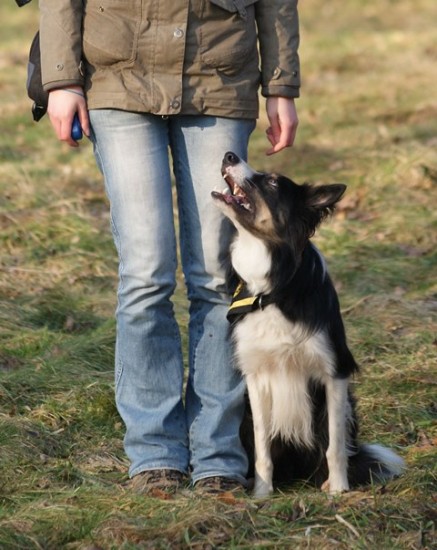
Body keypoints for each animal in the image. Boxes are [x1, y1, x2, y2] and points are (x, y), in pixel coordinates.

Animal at [211, 152, 402, 500]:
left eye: (273, 182)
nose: (229, 155)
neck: (273, 288)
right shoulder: (255, 378)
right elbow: (262, 448)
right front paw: (262, 494)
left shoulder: (333, 373)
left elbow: (335, 446)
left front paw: (338, 490)